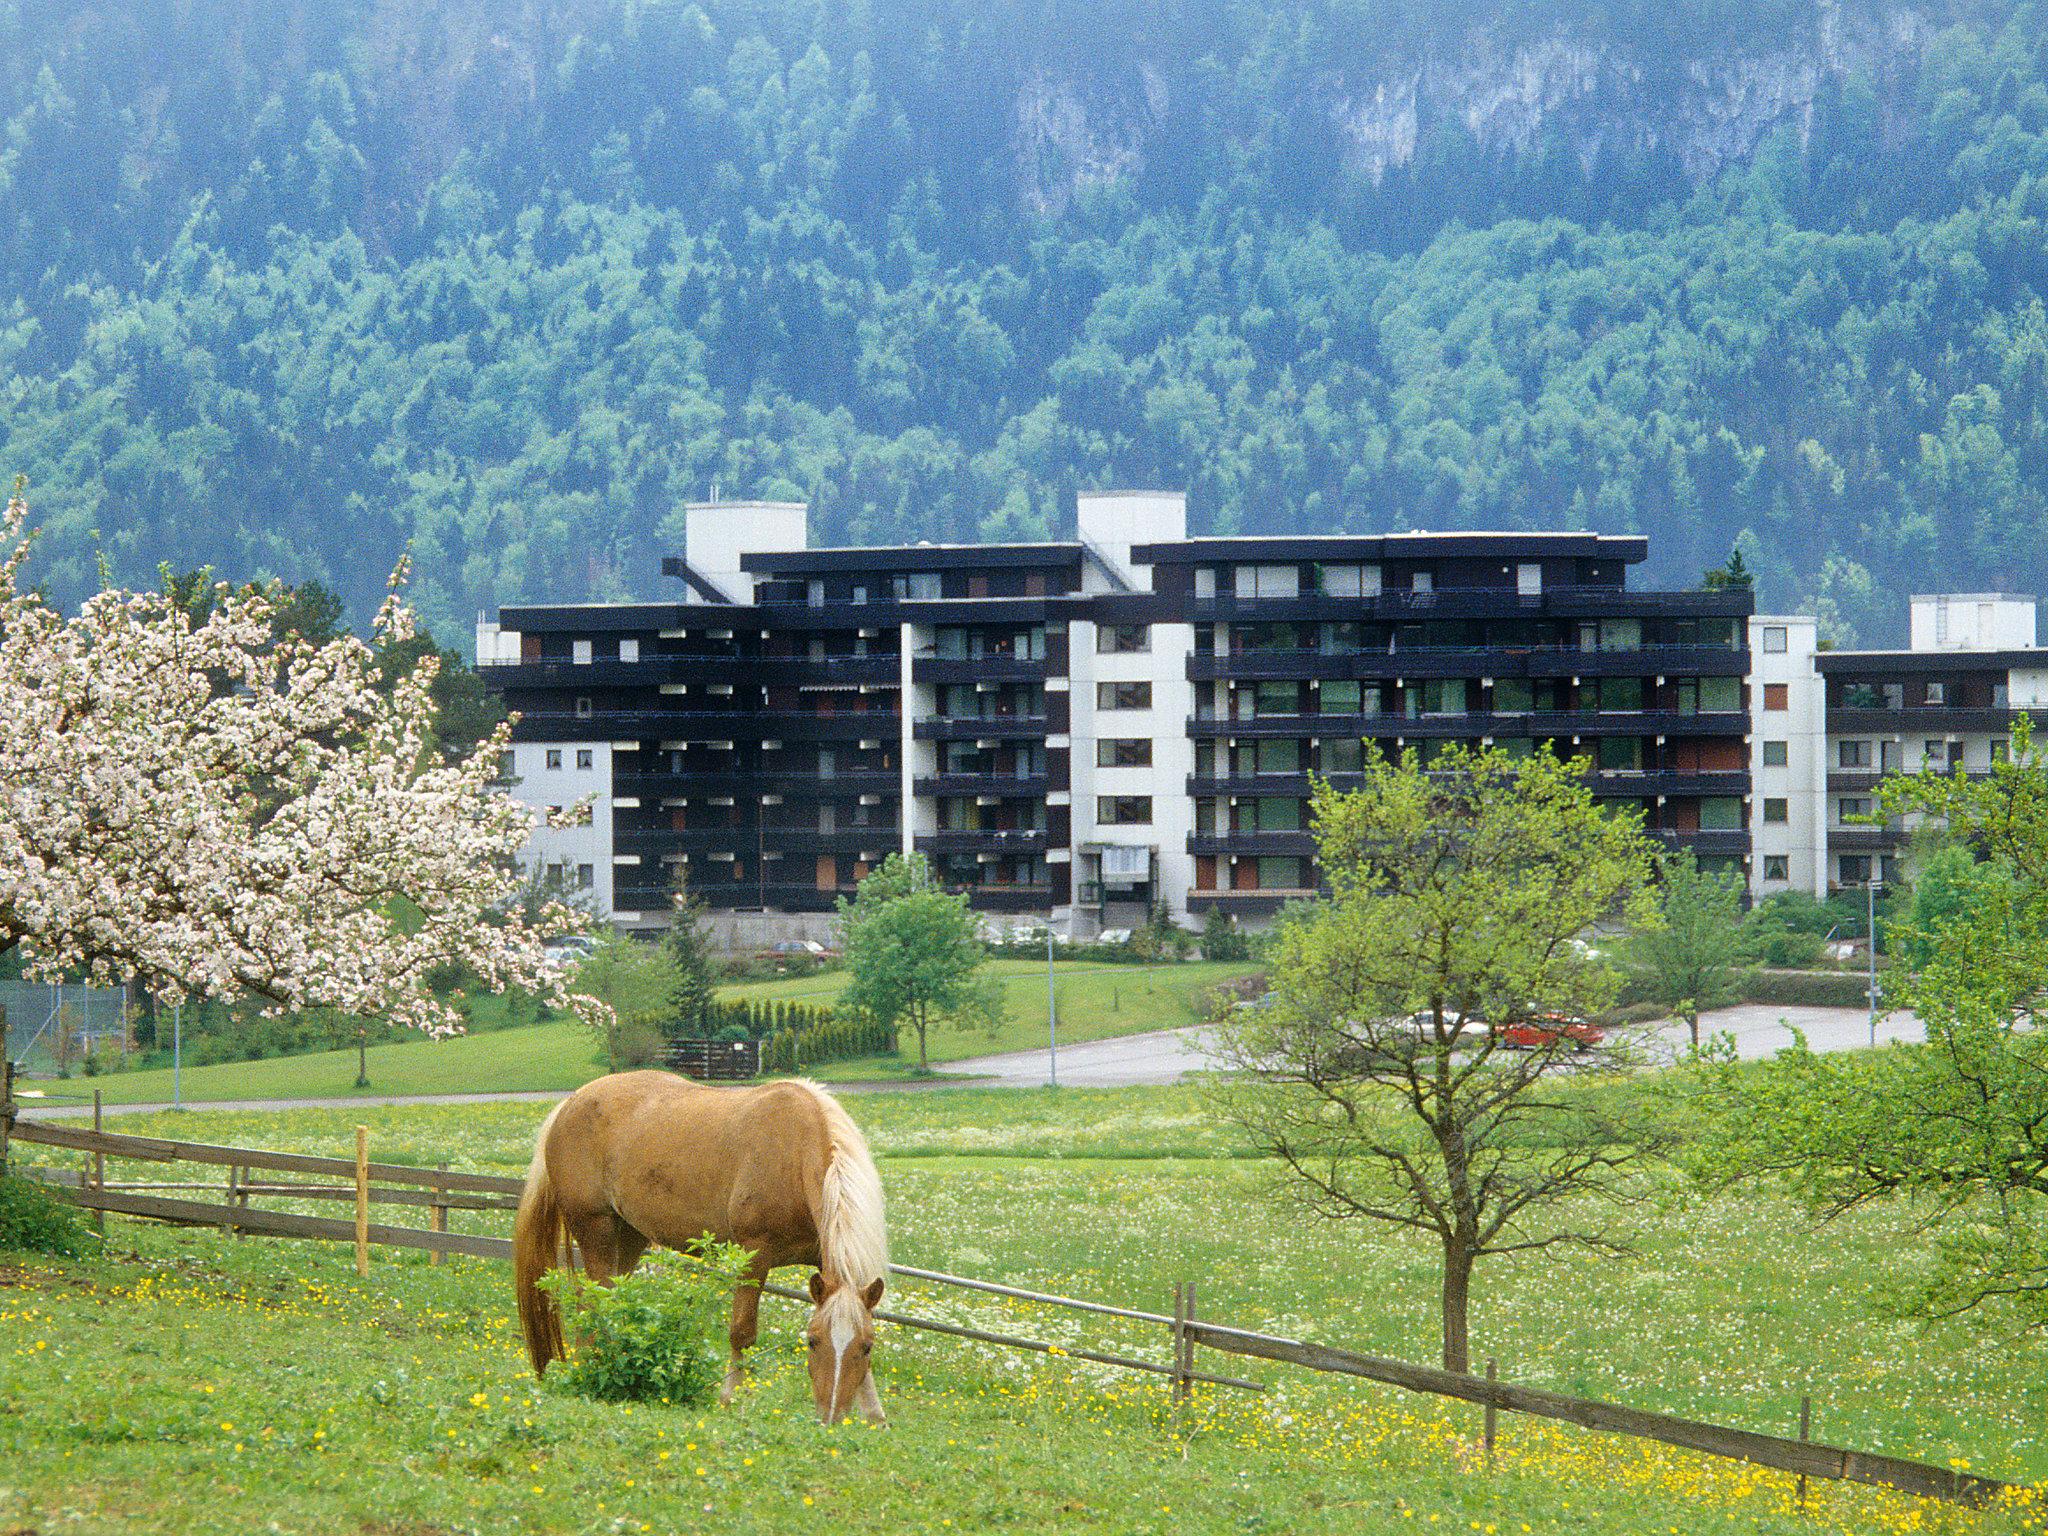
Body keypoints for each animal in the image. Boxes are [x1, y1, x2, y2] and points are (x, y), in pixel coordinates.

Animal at [512, 1073, 888, 1425]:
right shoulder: (754, 1255)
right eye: (812, 1341)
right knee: (595, 1303)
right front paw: (729, 1396)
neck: (793, 1154)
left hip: (629, 1237)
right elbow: (742, 1332)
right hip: (596, 1230)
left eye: (866, 1347)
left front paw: (874, 1413)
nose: (831, 1417)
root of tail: (570, 1103)